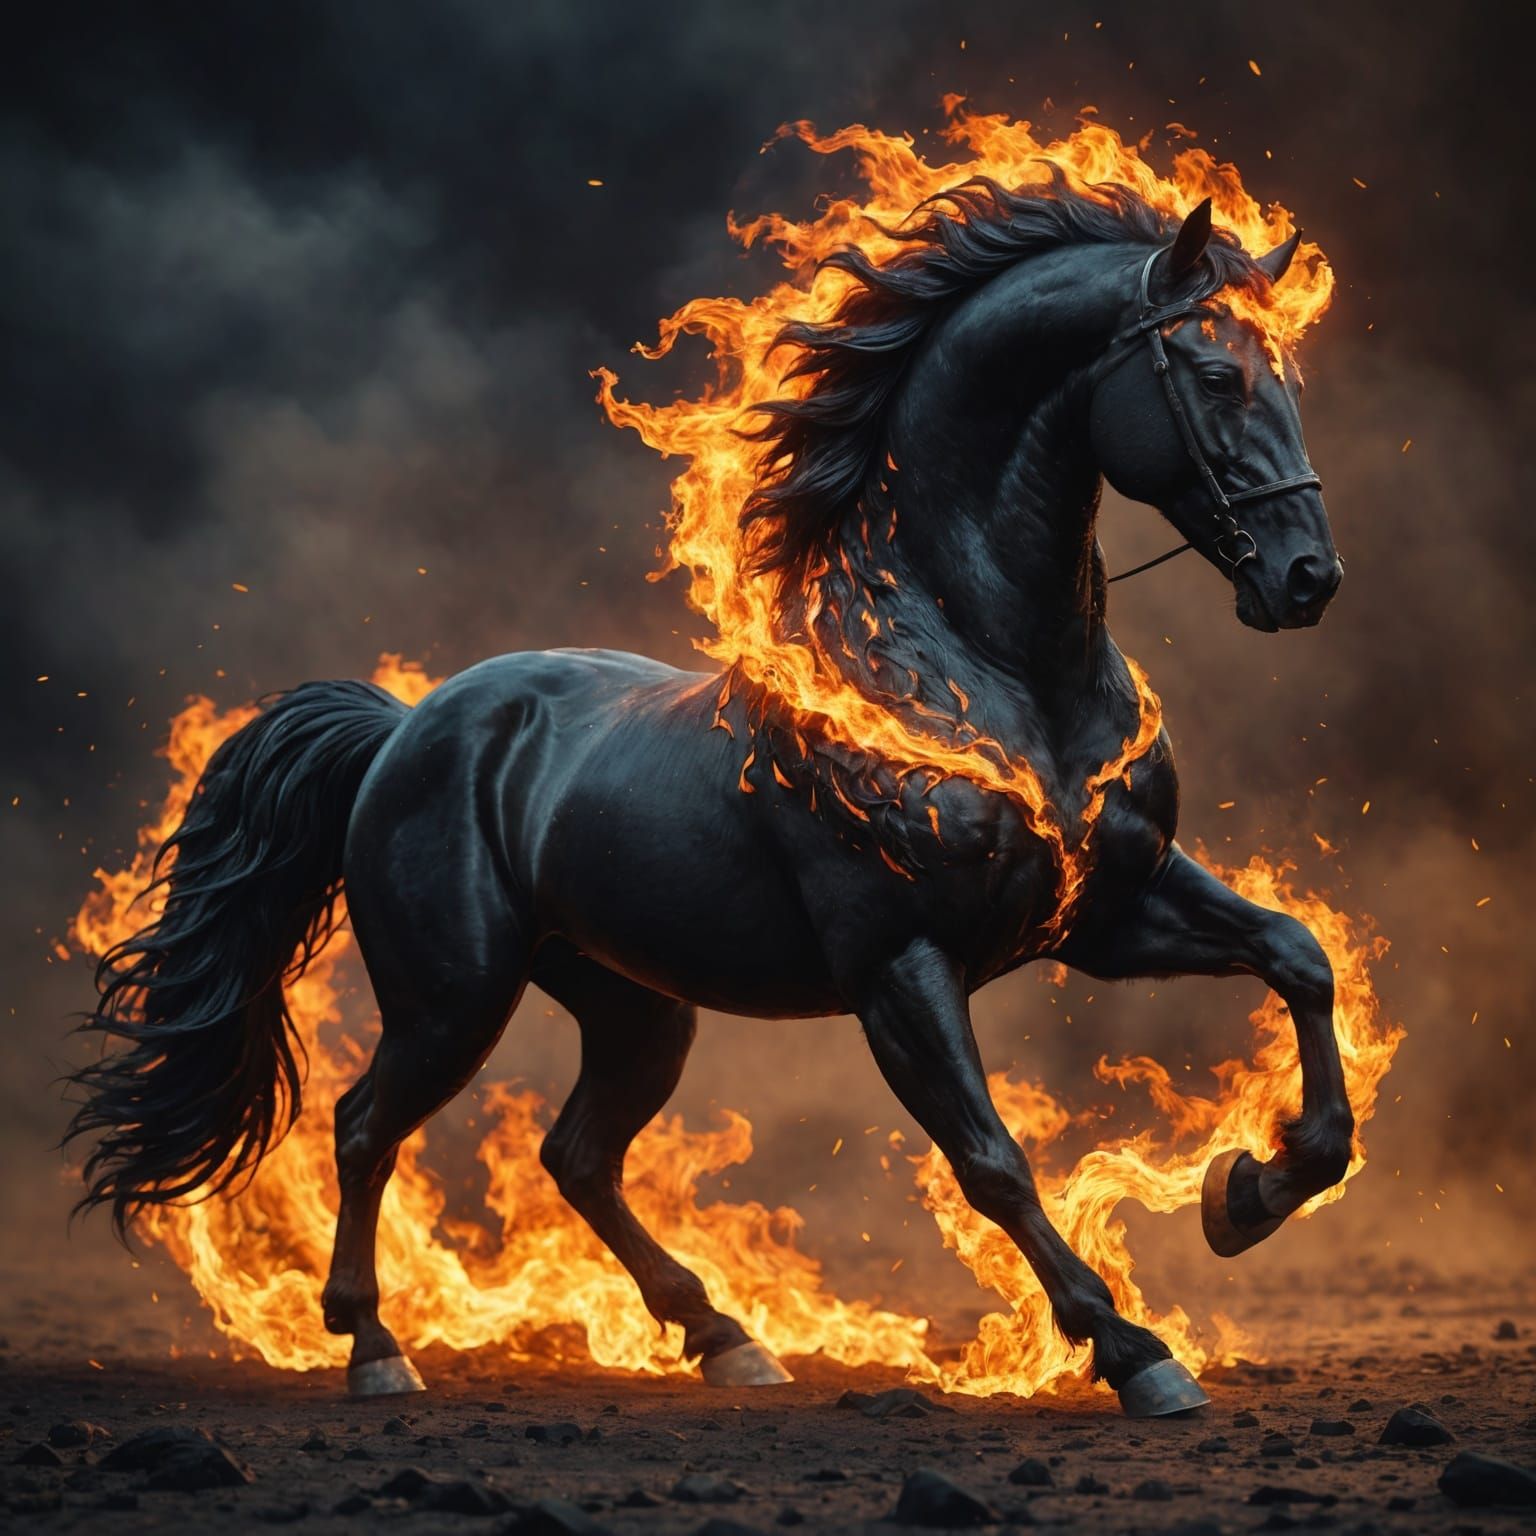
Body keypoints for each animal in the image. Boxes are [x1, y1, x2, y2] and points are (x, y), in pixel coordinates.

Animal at [66, 173, 1350, 1418]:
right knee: (366, 1124)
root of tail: (401, 729)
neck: (993, 672)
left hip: (634, 1006)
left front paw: (1251, 1190)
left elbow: (1297, 957)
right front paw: (1136, 1352)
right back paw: (376, 1348)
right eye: (1216, 373)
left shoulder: (1103, 913)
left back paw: (725, 1338)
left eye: (1291, 375)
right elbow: (992, 1160)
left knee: (575, 1154)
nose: (1308, 579)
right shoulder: (901, 966)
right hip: (452, 995)